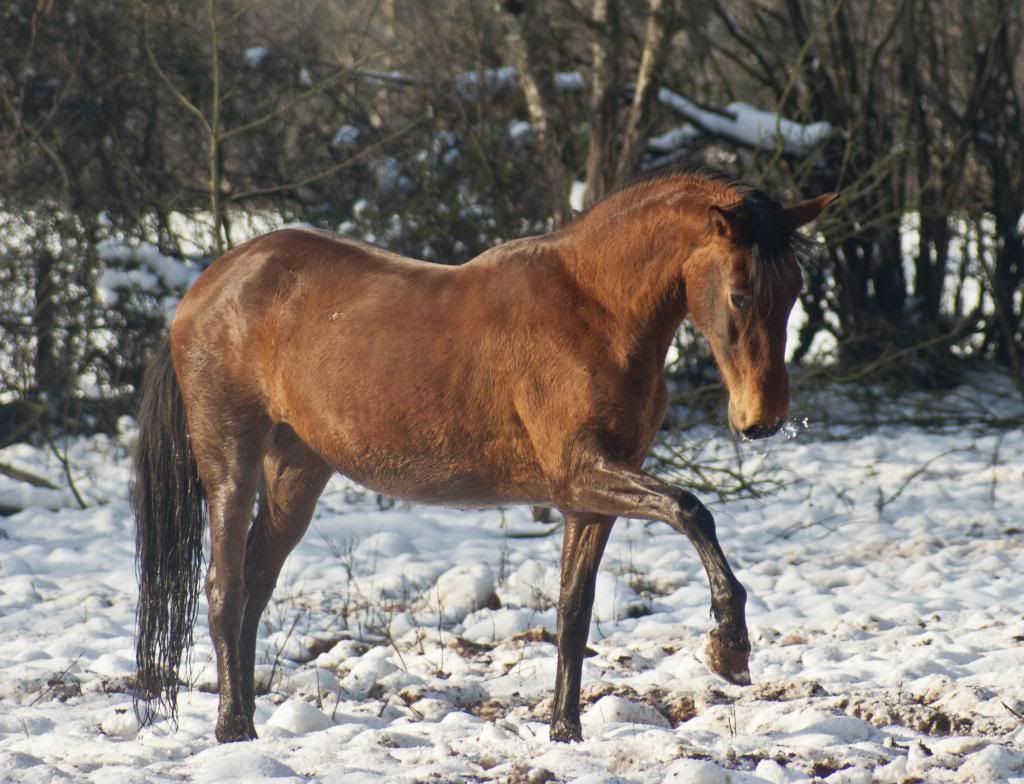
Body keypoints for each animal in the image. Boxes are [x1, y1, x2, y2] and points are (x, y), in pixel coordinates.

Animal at [132, 171, 835, 745]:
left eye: (794, 290)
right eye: (740, 293)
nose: (764, 420)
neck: (593, 310)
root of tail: (204, 289)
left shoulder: (588, 499)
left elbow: (573, 612)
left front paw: (564, 731)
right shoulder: (582, 475)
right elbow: (692, 510)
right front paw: (729, 649)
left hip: (297, 473)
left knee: (255, 584)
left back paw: (246, 720)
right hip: (232, 460)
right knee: (224, 586)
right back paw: (231, 729)